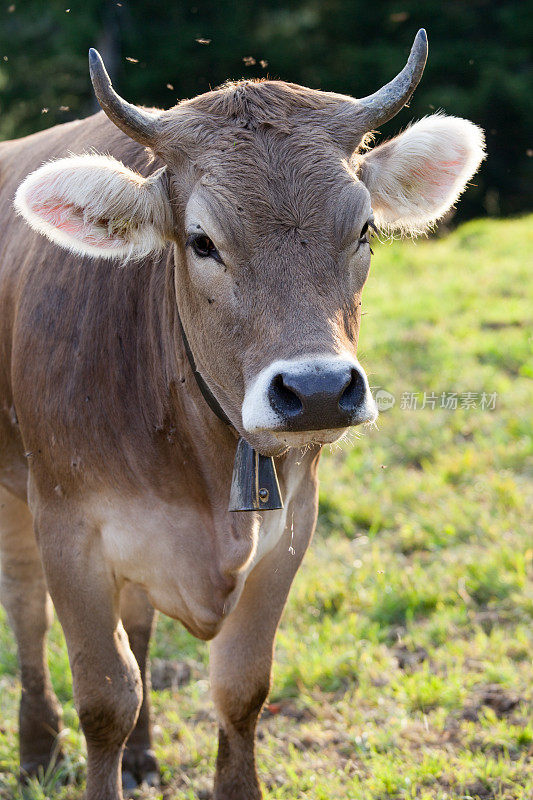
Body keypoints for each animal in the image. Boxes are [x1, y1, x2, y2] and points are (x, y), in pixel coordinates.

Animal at [0, 31, 482, 800]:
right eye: (201, 241)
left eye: (364, 229)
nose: (318, 390)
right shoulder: (68, 525)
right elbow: (105, 696)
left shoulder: (291, 527)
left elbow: (241, 689)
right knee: (24, 608)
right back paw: (38, 747)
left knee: (138, 619)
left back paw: (141, 756)